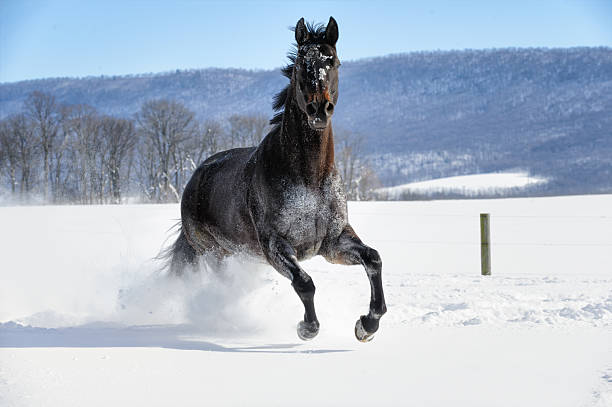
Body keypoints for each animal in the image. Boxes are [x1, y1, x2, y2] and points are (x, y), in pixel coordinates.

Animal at [166, 16, 388, 342]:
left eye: (332, 61)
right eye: (299, 64)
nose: (319, 109)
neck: (309, 178)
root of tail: (195, 178)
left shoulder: (333, 243)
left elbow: (373, 259)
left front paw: (366, 326)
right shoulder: (276, 246)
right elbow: (304, 282)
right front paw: (307, 328)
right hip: (215, 254)